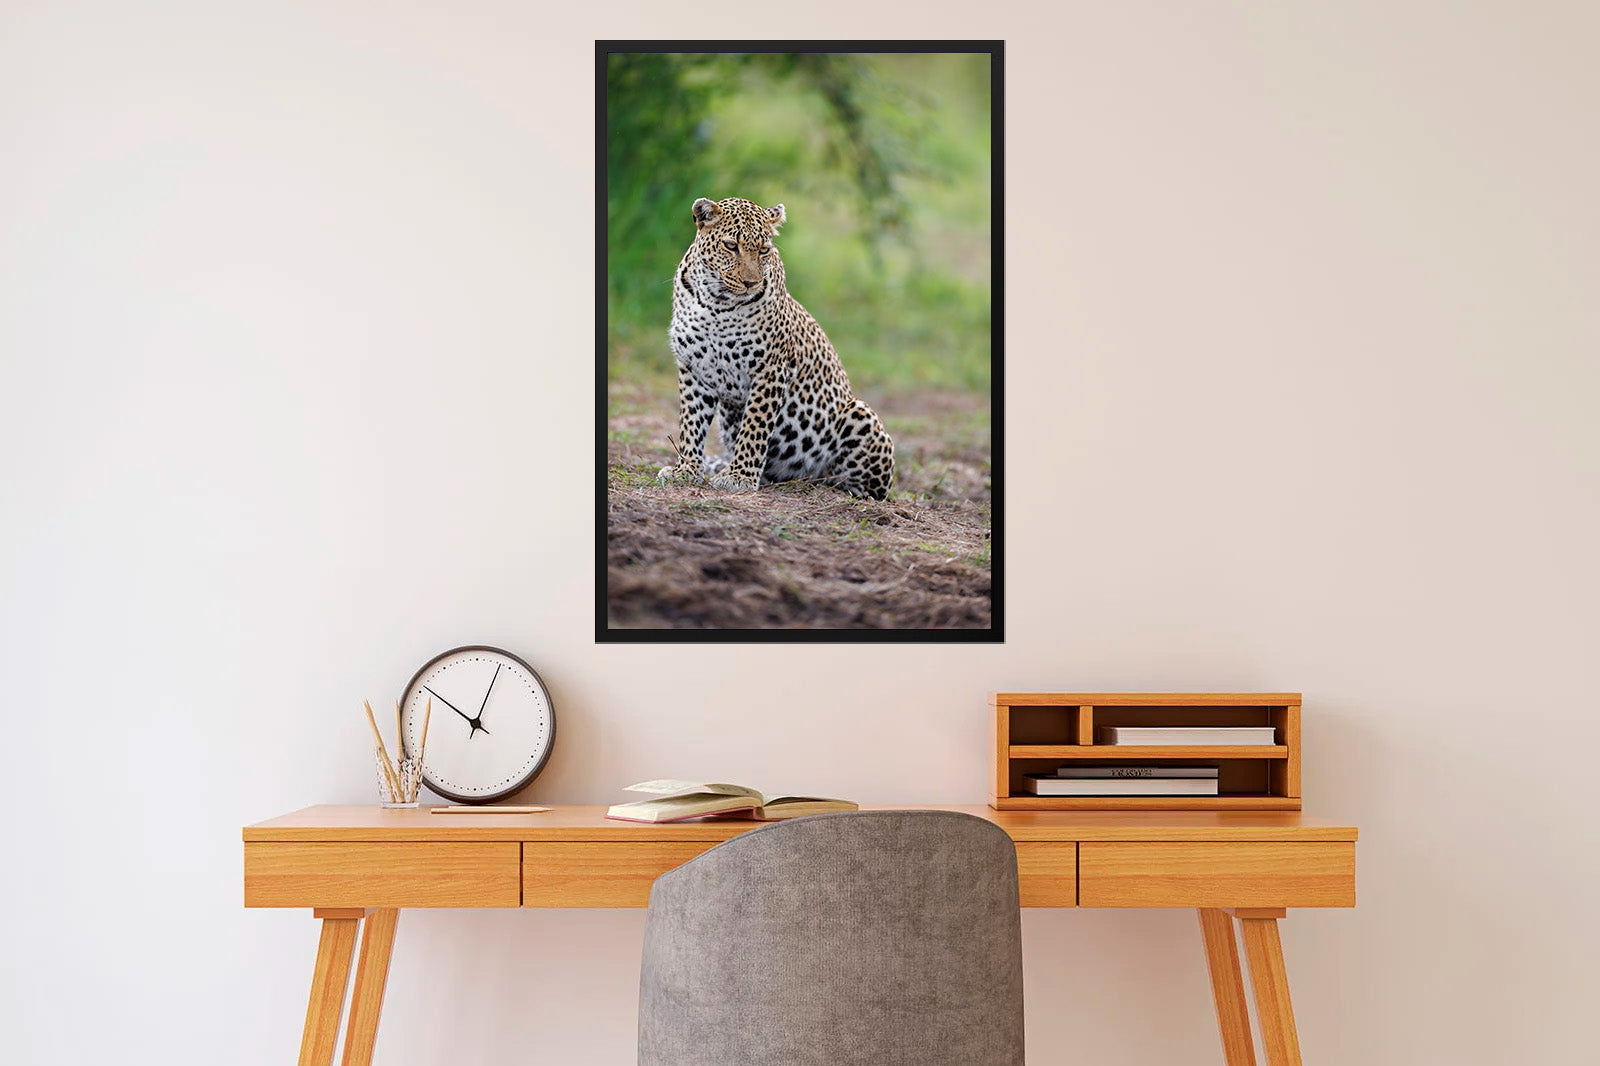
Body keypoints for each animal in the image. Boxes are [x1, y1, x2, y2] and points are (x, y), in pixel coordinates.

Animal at [656, 196, 895, 501]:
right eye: (730, 246)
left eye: (764, 250)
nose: (751, 283)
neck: (716, 303)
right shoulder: (694, 368)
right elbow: (691, 424)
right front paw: (685, 470)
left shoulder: (771, 369)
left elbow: (755, 427)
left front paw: (739, 477)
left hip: (860, 414)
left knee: (866, 486)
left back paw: (832, 488)